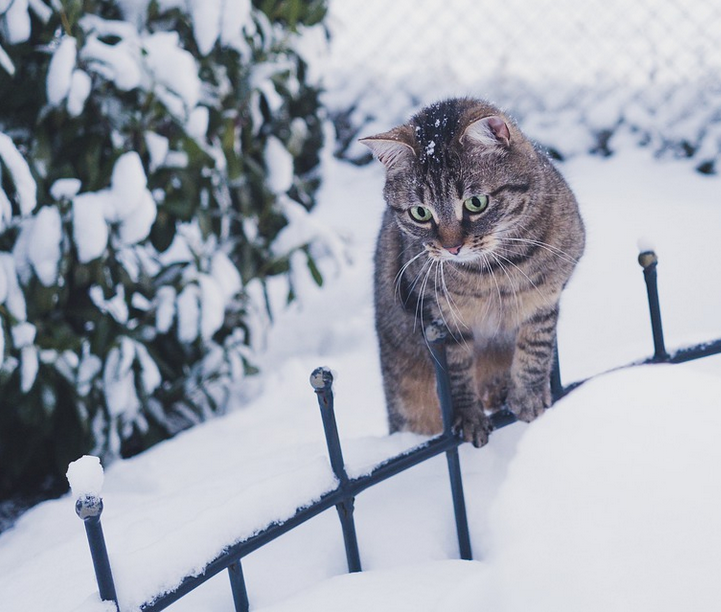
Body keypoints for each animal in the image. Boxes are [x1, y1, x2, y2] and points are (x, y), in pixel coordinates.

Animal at [360, 98, 584, 448]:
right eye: (420, 213)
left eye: (476, 203)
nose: (452, 248)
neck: (494, 271)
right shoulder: (441, 318)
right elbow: (457, 370)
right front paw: (469, 415)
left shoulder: (548, 294)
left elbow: (536, 345)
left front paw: (528, 395)